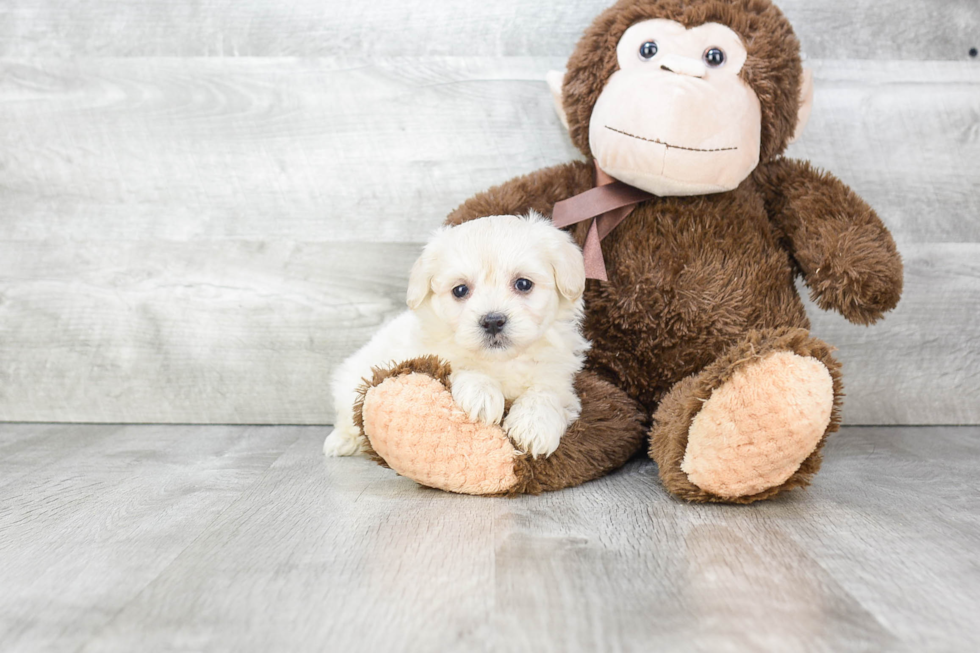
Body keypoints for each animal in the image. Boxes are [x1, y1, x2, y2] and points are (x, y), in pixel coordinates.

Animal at [322, 214, 584, 458]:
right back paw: (341, 441)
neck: (501, 361)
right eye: (460, 290)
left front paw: (534, 426)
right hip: (351, 381)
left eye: (523, 284)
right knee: (349, 416)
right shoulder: (427, 355)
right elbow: (458, 365)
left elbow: (546, 392)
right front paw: (481, 394)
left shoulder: (558, 377)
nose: (493, 321)